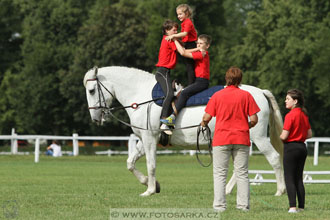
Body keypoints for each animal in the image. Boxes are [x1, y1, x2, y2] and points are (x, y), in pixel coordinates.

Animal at [84, 66, 284, 197]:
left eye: (92, 90)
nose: (95, 117)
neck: (142, 97)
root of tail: (260, 92)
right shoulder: (145, 139)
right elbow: (130, 163)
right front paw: (152, 184)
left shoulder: (149, 139)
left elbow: (151, 164)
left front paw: (149, 190)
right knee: (241, 166)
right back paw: (227, 190)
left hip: (259, 138)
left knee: (274, 158)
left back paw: (280, 190)